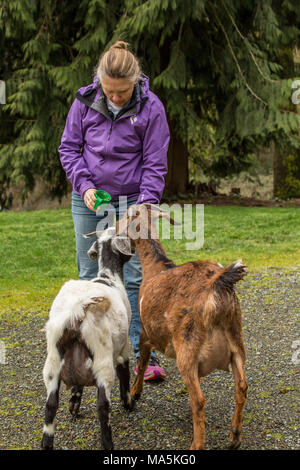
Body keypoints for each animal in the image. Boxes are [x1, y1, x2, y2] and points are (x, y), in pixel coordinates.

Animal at [41, 228, 135, 452]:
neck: (108, 277)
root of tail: (77, 312)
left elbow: (77, 387)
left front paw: (74, 403)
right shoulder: (123, 348)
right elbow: (125, 374)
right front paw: (128, 403)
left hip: (52, 365)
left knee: (50, 406)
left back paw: (47, 443)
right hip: (102, 362)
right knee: (103, 407)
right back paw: (108, 443)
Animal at [117, 204, 248, 450]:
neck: (156, 266)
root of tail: (216, 286)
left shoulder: (145, 332)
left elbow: (142, 362)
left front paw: (133, 396)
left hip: (186, 347)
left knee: (199, 399)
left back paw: (197, 444)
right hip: (236, 341)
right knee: (242, 387)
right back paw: (234, 437)